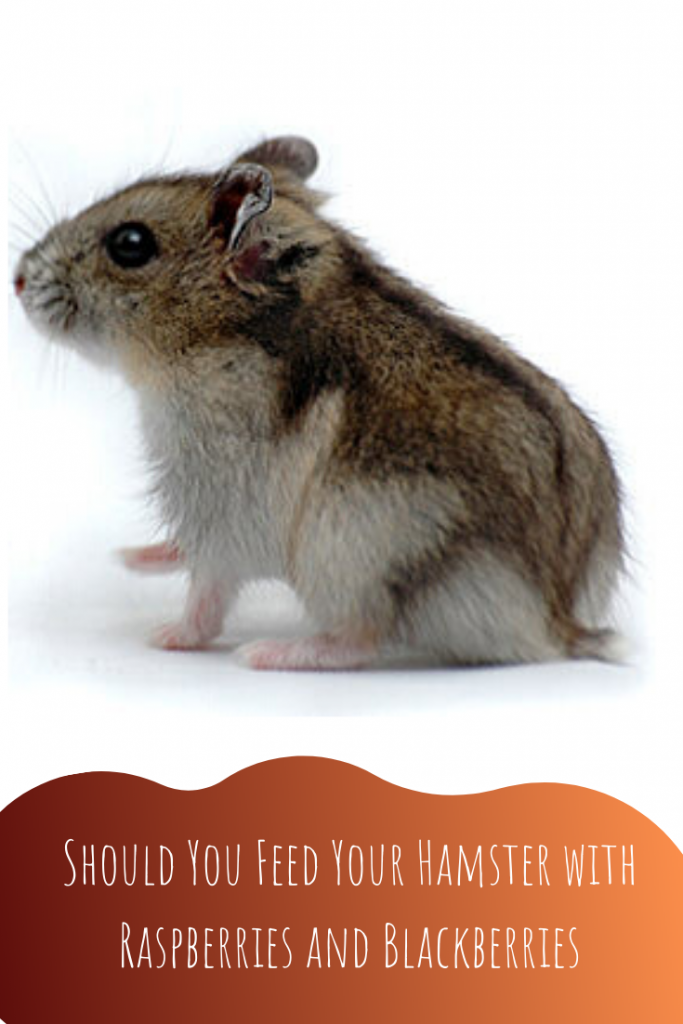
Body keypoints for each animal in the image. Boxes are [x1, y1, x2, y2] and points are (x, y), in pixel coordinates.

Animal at [14, 135, 623, 671]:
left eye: (130, 244)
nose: (17, 278)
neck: (218, 336)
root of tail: (555, 625)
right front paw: (130, 558)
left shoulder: (215, 501)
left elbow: (207, 592)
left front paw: (164, 636)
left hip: (354, 551)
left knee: (361, 639)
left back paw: (267, 654)